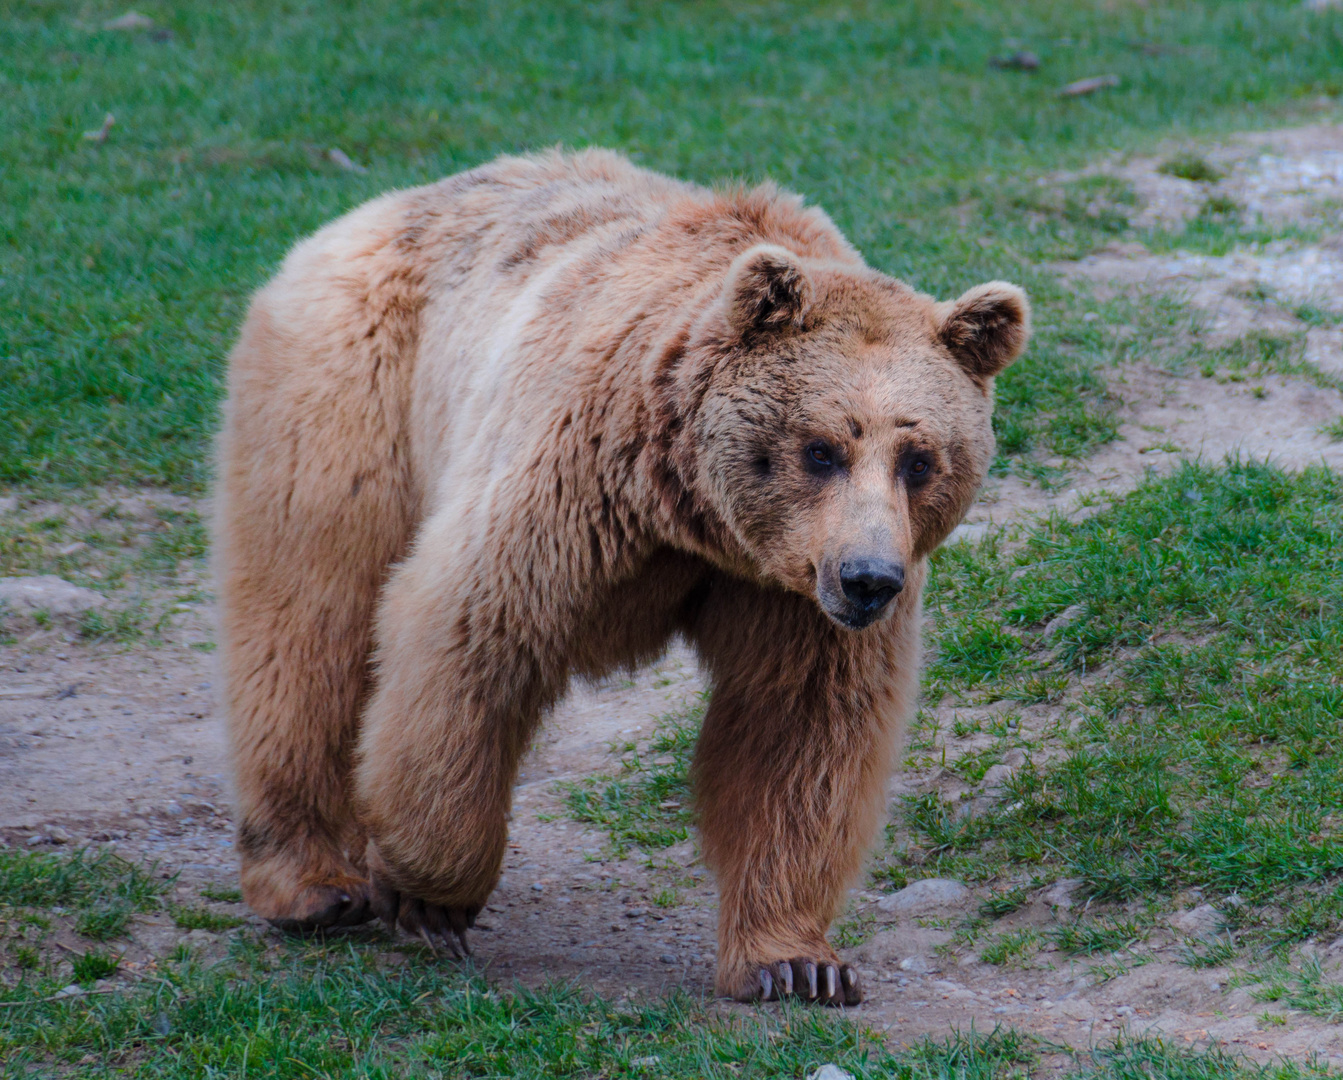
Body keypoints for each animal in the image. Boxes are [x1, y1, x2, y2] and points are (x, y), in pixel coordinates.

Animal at [214, 143, 1026, 1004]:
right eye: (821, 448)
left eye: (919, 458)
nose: (869, 579)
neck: (695, 515)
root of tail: (375, 208)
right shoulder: (573, 484)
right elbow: (470, 647)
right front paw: (429, 895)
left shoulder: (792, 598)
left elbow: (801, 736)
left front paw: (796, 962)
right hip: (354, 399)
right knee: (308, 623)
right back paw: (311, 885)